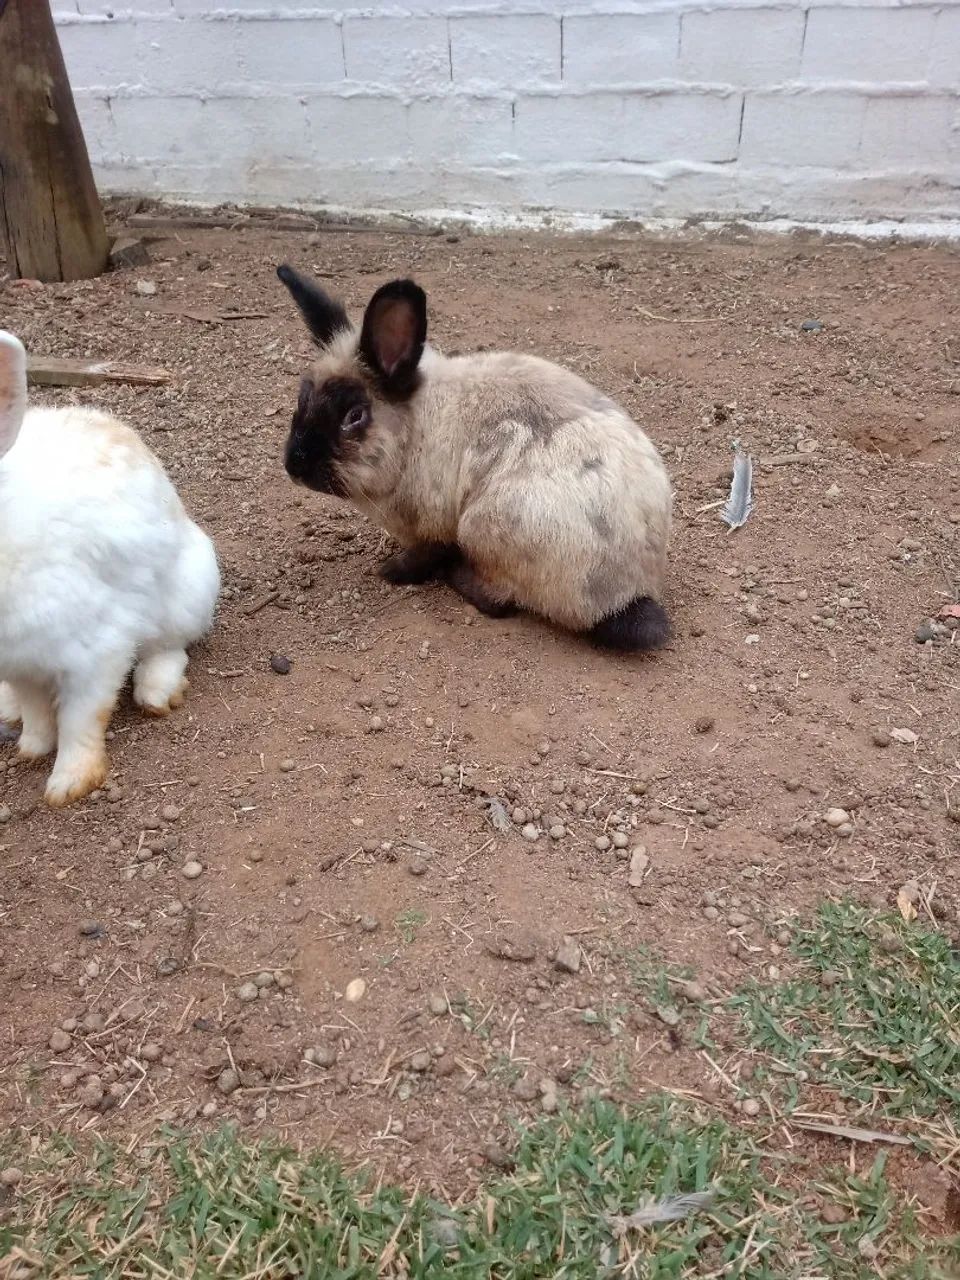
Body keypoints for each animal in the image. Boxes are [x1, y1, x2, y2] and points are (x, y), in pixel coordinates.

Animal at [0, 330, 221, 807]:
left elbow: (81, 718)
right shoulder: (20, 661)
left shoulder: (95, 648)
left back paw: (158, 693)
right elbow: (36, 708)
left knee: (168, 648)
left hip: (187, 591)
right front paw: (33, 747)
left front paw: (69, 784)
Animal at [276, 265, 673, 651]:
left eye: (354, 416)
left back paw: (457, 574)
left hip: (481, 526)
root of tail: (628, 594)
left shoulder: (432, 526)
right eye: (302, 399)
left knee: (500, 601)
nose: (294, 465)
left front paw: (391, 571)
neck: (413, 429)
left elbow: (424, 556)